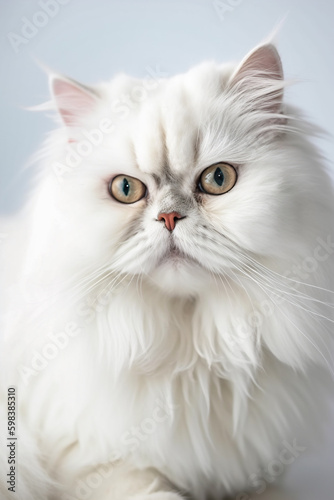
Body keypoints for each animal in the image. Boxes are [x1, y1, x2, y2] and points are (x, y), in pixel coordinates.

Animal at [0, 43, 334, 500]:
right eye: (126, 189)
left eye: (217, 179)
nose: (170, 217)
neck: (191, 354)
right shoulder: (94, 466)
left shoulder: (264, 470)